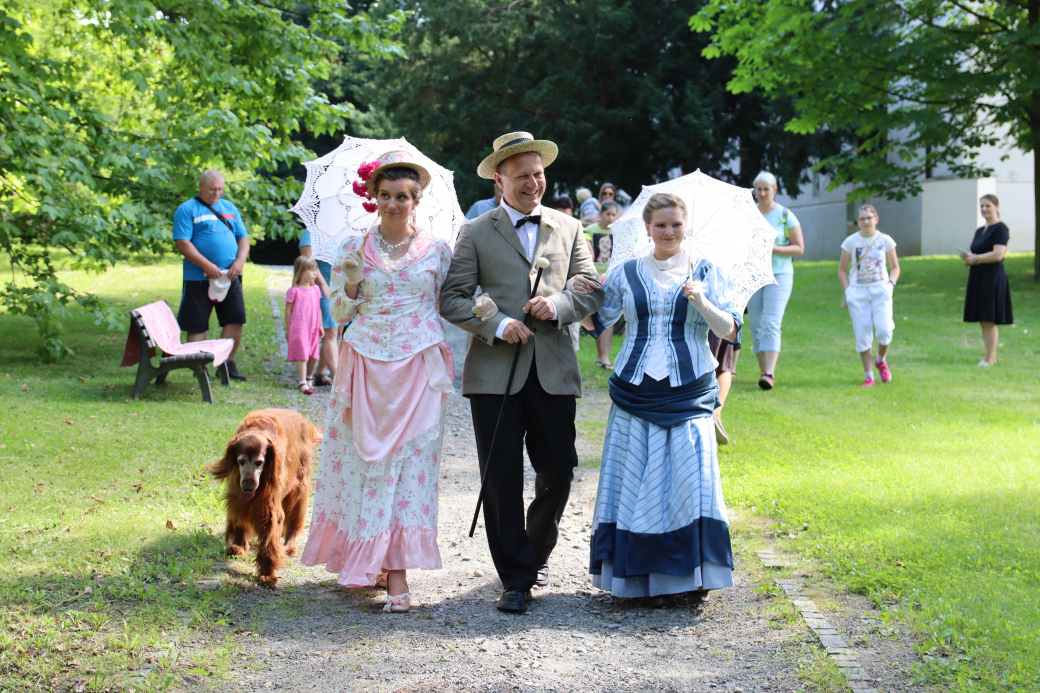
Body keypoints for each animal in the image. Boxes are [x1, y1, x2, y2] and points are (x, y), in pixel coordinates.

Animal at [209, 407, 322, 586]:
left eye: (259, 462)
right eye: (241, 461)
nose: (248, 487)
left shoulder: (268, 505)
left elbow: (270, 534)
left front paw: (267, 573)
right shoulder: (237, 494)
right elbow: (240, 519)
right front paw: (239, 546)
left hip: (299, 489)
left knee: (293, 520)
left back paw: (289, 546)